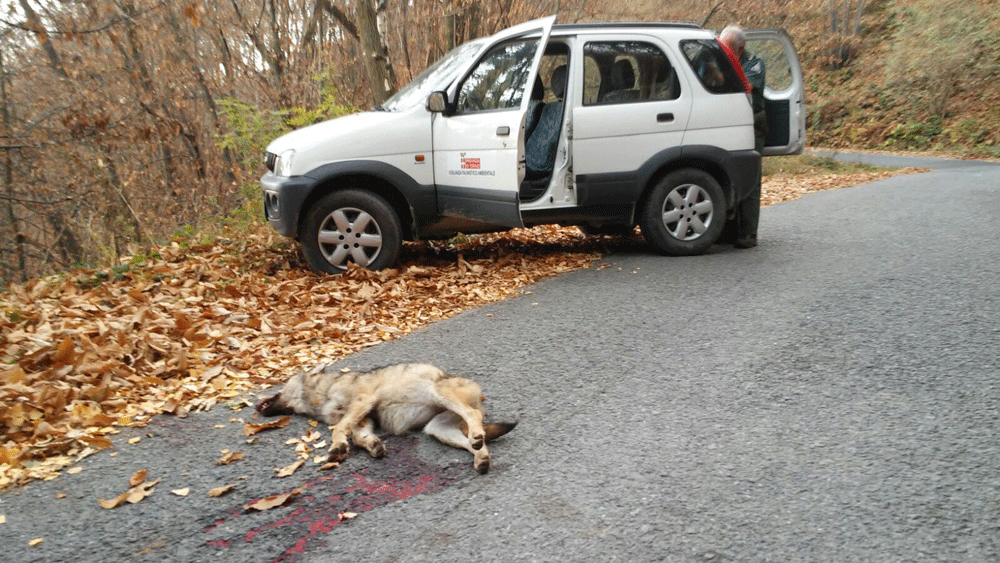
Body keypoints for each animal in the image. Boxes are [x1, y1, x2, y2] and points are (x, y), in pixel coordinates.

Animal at [254, 364, 520, 474]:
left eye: (281, 385)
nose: (257, 401)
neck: (322, 392)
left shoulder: (363, 401)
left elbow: (338, 430)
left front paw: (337, 447)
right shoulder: (362, 420)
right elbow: (359, 438)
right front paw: (373, 446)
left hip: (438, 394)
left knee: (474, 418)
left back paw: (477, 438)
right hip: (437, 429)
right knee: (474, 442)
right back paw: (481, 458)